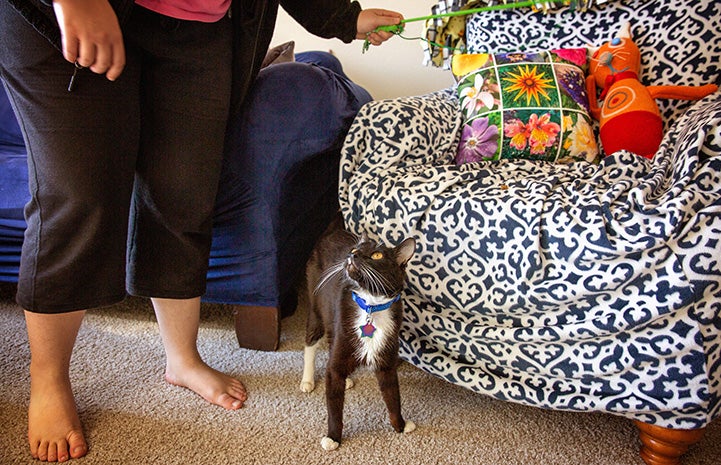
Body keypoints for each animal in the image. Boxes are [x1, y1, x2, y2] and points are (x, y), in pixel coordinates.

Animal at [300, 216, 416, 452]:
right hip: (316, 304)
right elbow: (334, 406)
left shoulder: (387, 360)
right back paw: (307, 381)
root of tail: (331, 232)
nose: (352, 255)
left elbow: (393, 395)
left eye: (377, 255)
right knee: (311, 340)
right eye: (354, 249)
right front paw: (333, 438)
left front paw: (400, 425)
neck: (371, 305)